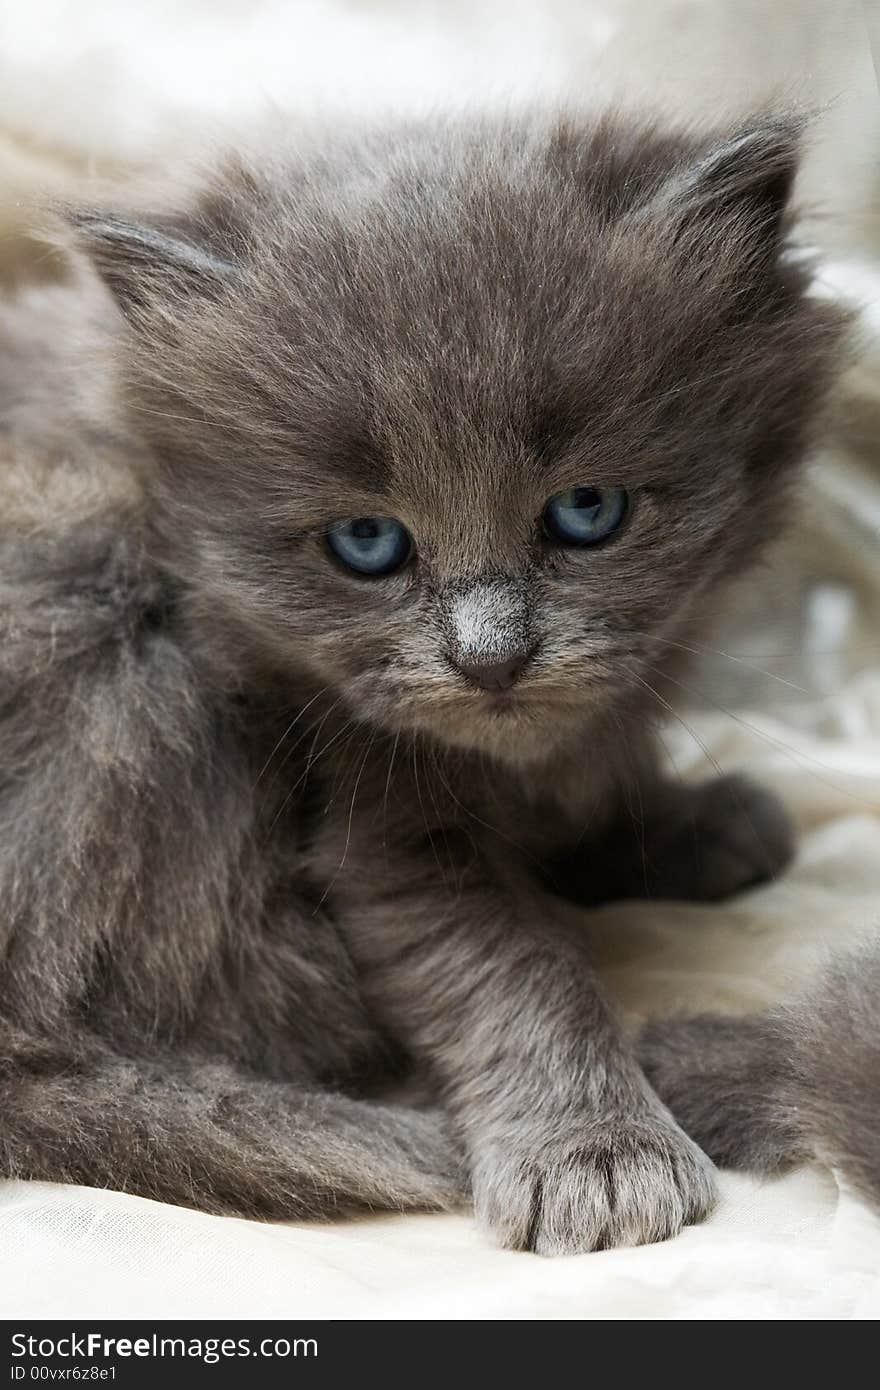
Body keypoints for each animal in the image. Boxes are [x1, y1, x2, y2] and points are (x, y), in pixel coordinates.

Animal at [0, 111, 867, 1262]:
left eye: (587, 511)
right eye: (367, 542)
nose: (489, 657)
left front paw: (684, 824)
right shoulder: (377, 824)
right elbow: (508, 962)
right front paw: (595, 1152)